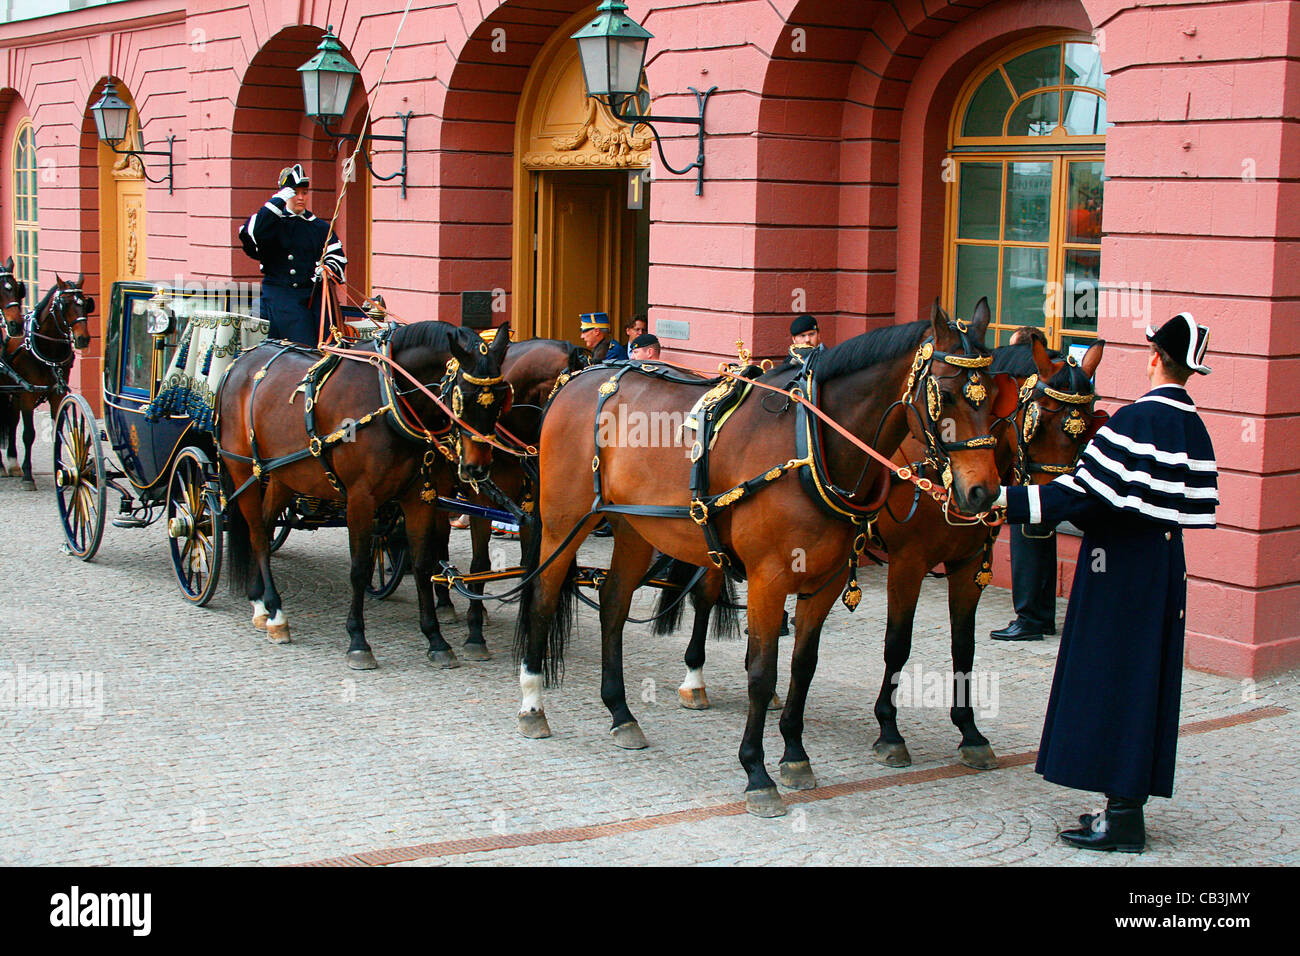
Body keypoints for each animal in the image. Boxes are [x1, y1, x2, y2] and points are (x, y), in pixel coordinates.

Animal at [0, 270, 92, 489]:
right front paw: (28, 475)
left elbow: (56, 431)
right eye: (64, 304)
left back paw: (12, 463)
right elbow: (29, 434)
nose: (83, 339)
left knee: (12, 421)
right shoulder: (27, 394)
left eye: (85, 303)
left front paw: (61, 469)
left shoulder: (56, 394)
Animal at [220, 317, 509, 671]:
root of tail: (240, 361)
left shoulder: (420, 496)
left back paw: (259, 599)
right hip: (243, 469)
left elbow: (423, 565)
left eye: (501, 399)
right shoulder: (360, 499)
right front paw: (358, 640)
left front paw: (436, 639)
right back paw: (274, 611)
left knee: (262, 524)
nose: (477, 469)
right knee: (258, 536)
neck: (390, 397)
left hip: (282, 475)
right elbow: (359, 569)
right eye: (462, 397)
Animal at [512, 299, 998, 816]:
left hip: (635, 529)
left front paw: (795, 755)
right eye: (947, 395)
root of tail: (578, 379)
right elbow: (763, 675)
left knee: (613, 604)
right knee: (542, 598)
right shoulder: (771, 579)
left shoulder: (825, 582)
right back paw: (532, 704)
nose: (983, 492)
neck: (811, 445)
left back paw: (621, 713)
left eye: (993, 397)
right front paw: (756, 771)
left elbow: (803, 666)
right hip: (564, 521)